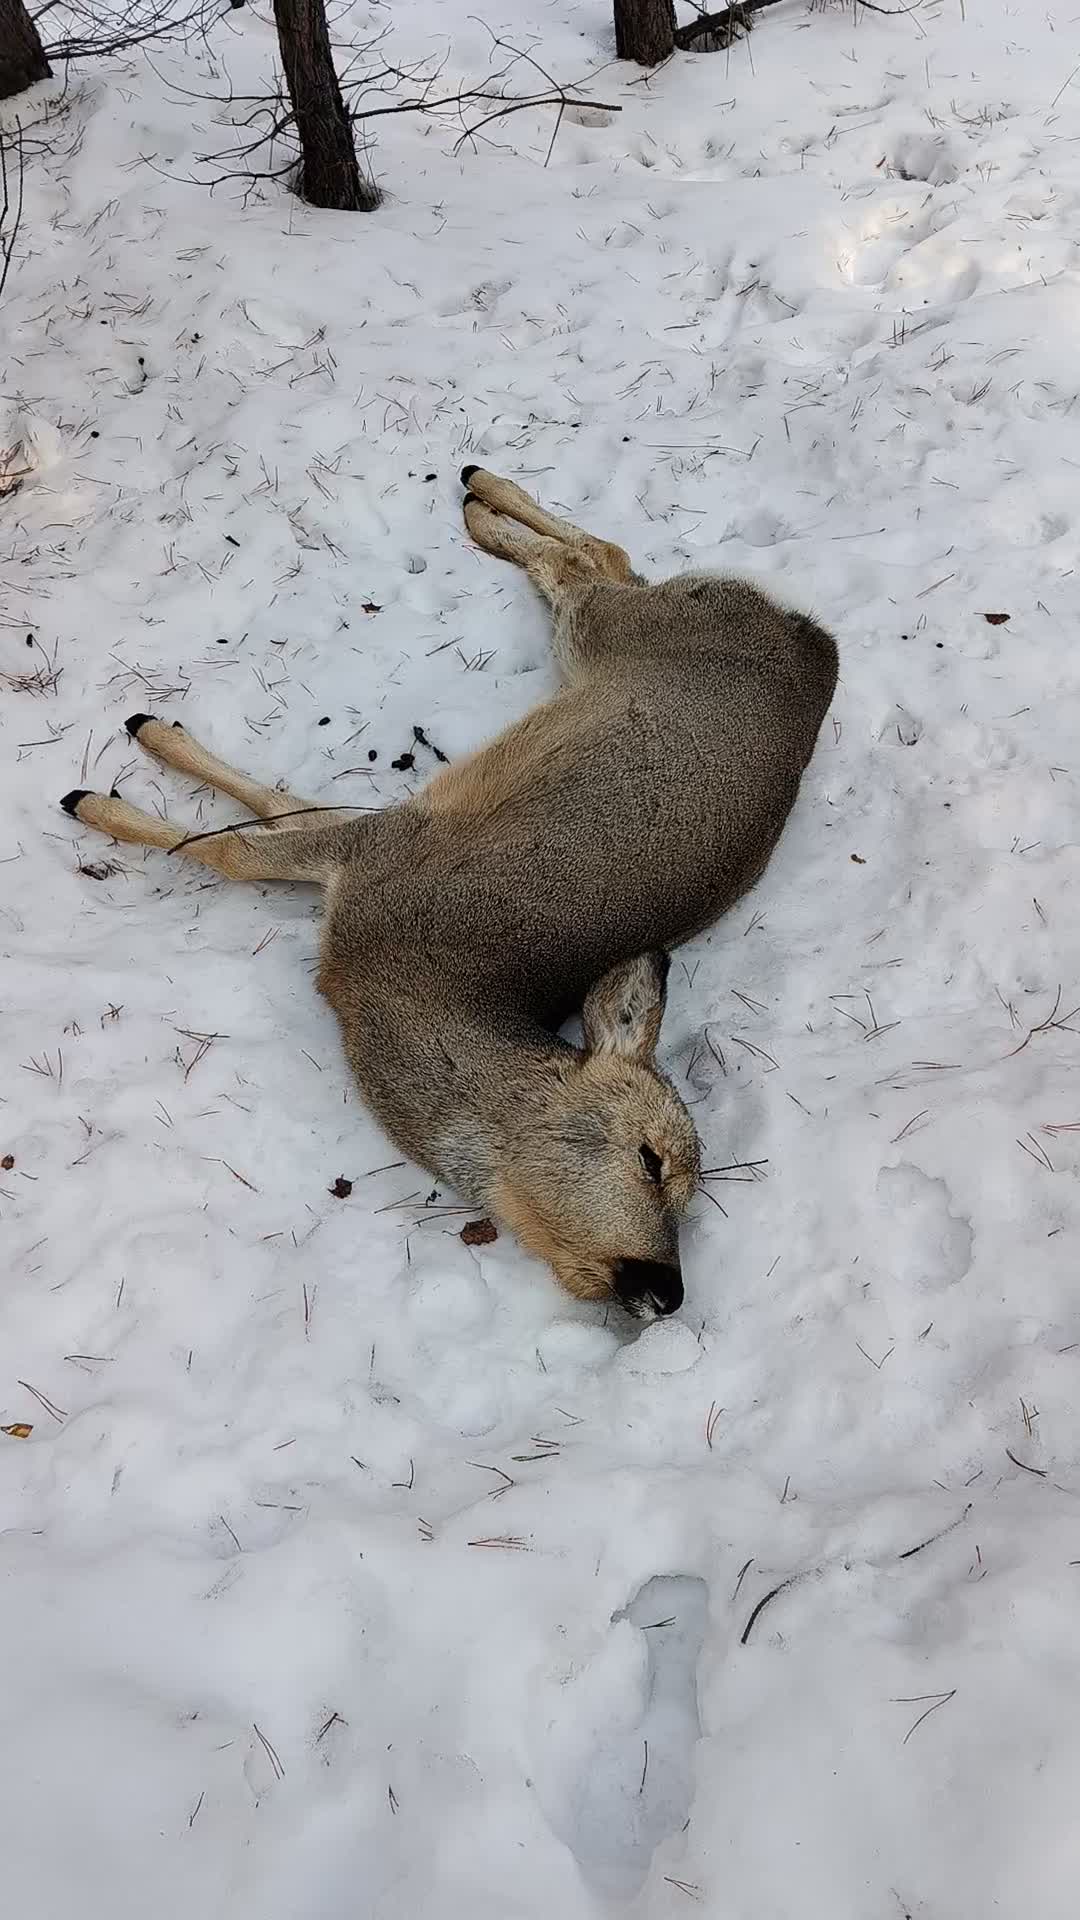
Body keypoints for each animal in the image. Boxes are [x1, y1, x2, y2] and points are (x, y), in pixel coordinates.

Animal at [58, 464, 837, 1320]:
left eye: (693, 1202)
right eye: (650, 1159)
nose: (668, 1291)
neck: (393, 983)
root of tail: (818, 642)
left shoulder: (373, 848)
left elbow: (264, 815)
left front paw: (139, 762)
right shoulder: (378, 853)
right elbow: (241, 841)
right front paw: (106, 790)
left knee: (600, 562)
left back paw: (480, 502)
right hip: (614, 630)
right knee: (597, 562)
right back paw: (478, 495)